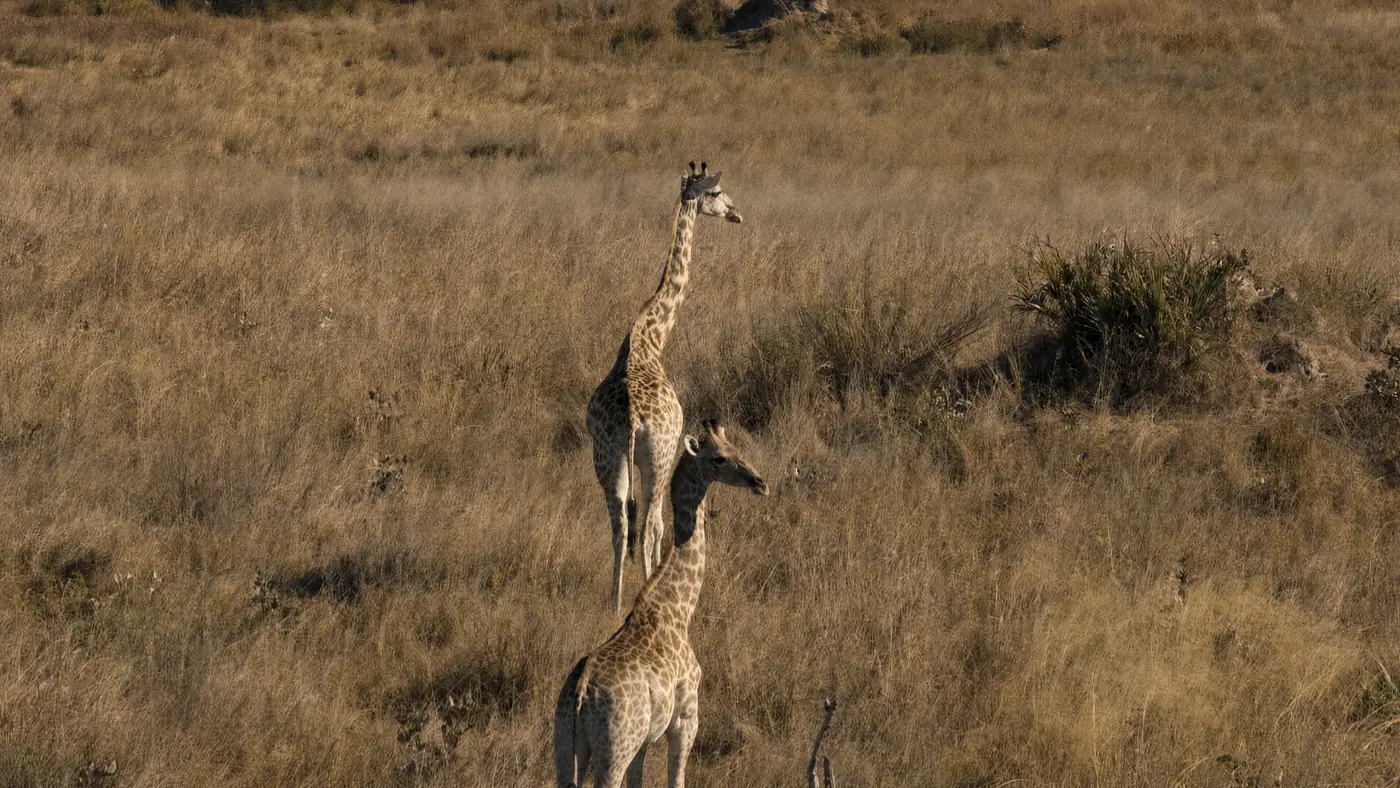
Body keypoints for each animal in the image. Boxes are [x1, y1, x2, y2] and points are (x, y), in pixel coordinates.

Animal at [555, 420, 769, 788]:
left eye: (737, 449)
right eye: (719, 458)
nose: (759, 482)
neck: (677, 609)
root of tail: (580, 698)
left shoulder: (643, 743)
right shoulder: (686, 717)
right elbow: (677, 779)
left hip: (565, 752)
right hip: (613, 753)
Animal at [586, 161, 743, 612]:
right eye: (717, 192)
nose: (736, 214)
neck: (651, 336)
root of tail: (634, 417)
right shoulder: (673, 446)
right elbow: (657, 525)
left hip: (607, 459)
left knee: (620, 526)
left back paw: (615, 602)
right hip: (656, 456)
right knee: (651, 524)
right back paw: (645, 587)